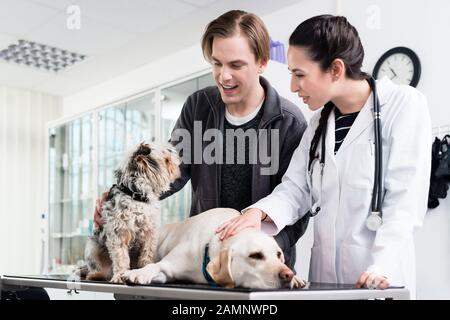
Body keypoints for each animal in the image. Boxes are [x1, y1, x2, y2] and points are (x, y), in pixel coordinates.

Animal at [84, 142, 179, 282]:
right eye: (166, 158)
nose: (178, 161)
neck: (136, 197)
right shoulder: (119, 233)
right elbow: (121, 257)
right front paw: (119, 275)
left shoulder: (149, 234)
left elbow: (147, 254)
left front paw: (144, 269)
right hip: (92, 248)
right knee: (98, 267)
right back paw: (96, 274)